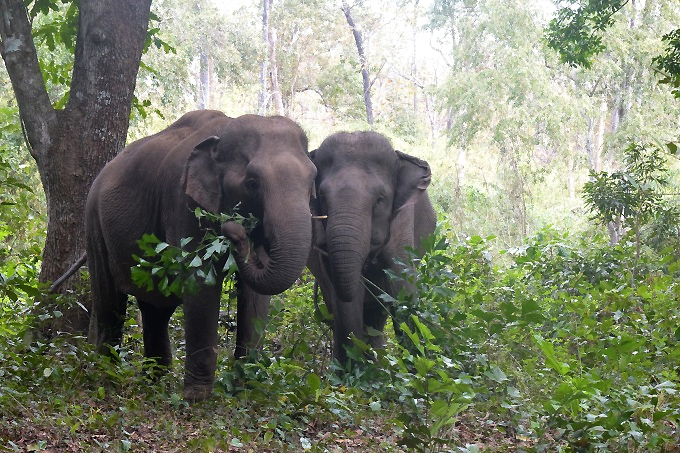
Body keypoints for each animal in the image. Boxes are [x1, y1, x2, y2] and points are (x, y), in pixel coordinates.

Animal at [84, 109, 316, 400]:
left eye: (313, 181)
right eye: (252, 183)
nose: (235, 230)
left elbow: (256, 294)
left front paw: (245, 390)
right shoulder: (184, 203)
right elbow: (201, 281)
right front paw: (197, 397)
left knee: (155, 307)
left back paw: (155, 380)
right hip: (94, 224)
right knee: (110, 300)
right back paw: (106, 374)